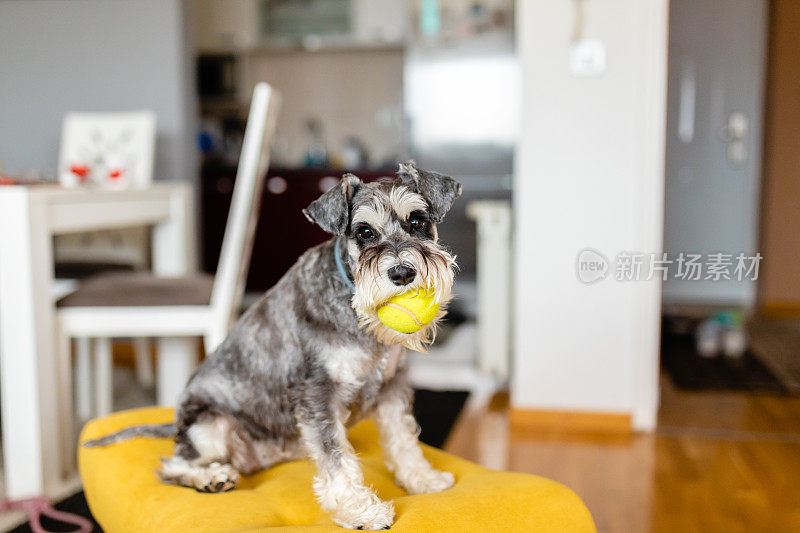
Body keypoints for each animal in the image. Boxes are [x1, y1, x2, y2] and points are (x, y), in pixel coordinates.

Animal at [84, 164, 460, 528]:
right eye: (364, 231)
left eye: (417, 221)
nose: (402, 273)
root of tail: (177, 425)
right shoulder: (316, 394)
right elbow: (336, 457)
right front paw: (360, 512)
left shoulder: (392, 386)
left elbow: (403, 438)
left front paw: (422, 479)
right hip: (209, 425)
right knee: (172, 465)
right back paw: (211, 478)